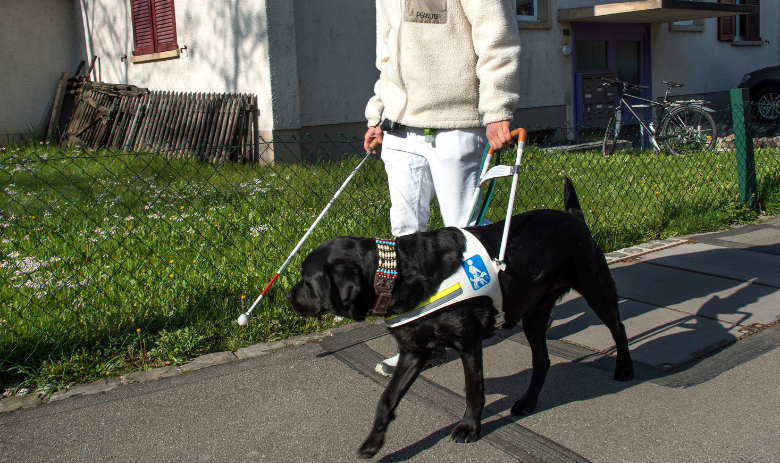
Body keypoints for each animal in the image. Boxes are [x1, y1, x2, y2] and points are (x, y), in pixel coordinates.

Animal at [286, 179, 632, 458]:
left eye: (307, 281)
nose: (289, 297)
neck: (399, 272)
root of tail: (574, 216)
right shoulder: (414, 351)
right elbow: (387, 398)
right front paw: (374, 442)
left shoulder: (469, 343)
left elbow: (473, 389)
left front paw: (469, 427)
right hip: (534, 315)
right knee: (543, 361)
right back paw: (528, 401)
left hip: (596, 288)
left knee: (619, 327)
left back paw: (624, 368)